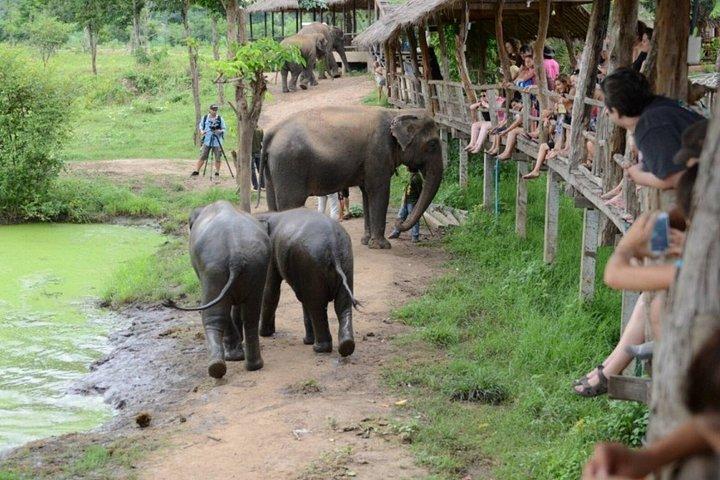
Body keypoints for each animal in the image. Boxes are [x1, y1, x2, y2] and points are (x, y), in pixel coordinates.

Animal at [163, 200, 270, 379]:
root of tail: (235, 255)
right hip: (256, 266)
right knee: (251, 315)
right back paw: (253, 365)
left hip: (214, 269)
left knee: (214, 316)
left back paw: (218, 366)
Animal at [256, 208, 358, 357]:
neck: (268, 214)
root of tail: (333, 243)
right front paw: (306, 341)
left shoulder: (271, 253)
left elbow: (270, 291)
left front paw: (263, 334)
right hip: (345, 259)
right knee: (341, 303)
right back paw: (346, 346)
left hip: (312, 261)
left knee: (316, 305)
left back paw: (319, 349)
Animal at [258, 106, 444, 249]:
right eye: (433, 144)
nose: (398, 223)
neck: (396, 112)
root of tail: (271, 133)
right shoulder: (378, 154)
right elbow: (379, 191)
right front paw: (382, 246)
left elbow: (367, 193)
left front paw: (366, 241)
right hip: (289, 165)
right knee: (290, 203)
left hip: (273, 168)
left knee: (272, 203)